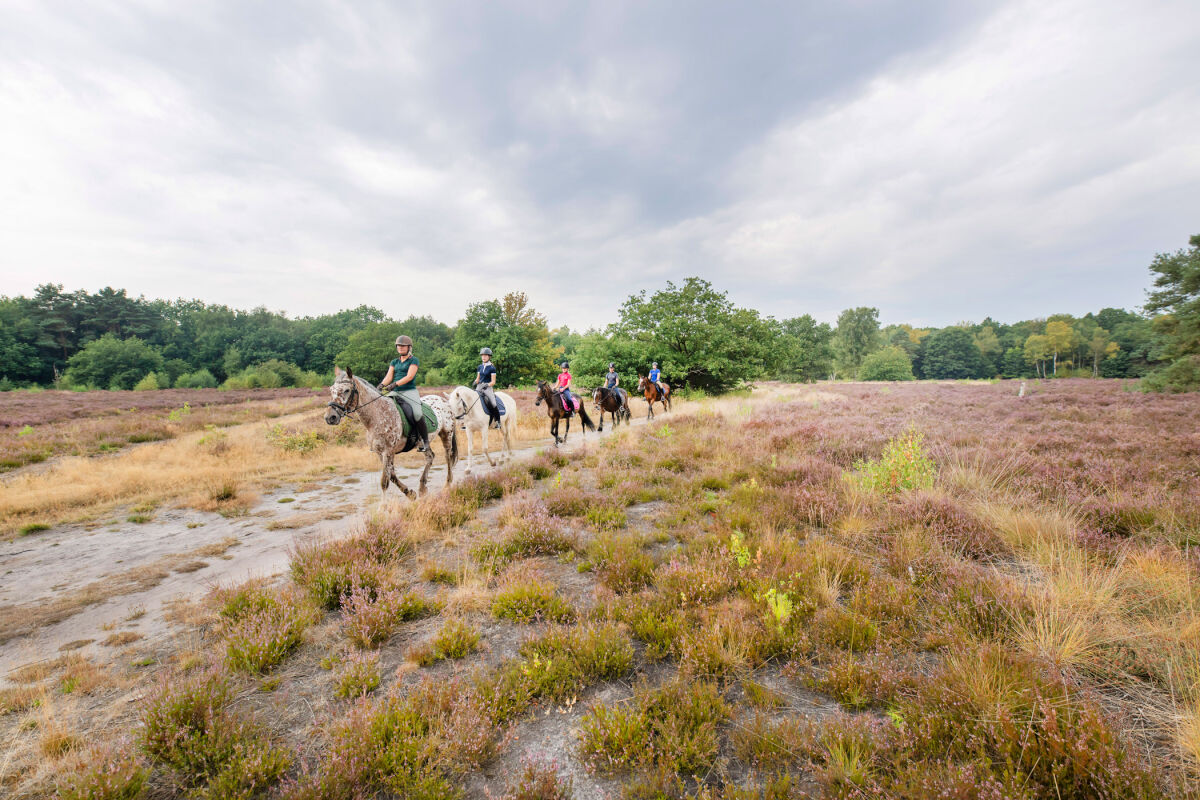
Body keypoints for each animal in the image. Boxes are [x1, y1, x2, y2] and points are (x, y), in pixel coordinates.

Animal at [326, 367, 456, 496]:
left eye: (347, 390)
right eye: (331, 390)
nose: (330, 417)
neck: (377, 415)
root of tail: (443, 399)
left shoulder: (387, 451)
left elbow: (384, 482)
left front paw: (385, 502)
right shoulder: (381, 453)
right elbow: (392, 476)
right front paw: (410, 493)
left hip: (446, 435)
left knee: (448, 457)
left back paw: (447, 485)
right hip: (422, 444)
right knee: (430, 457)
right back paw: (422, 487)